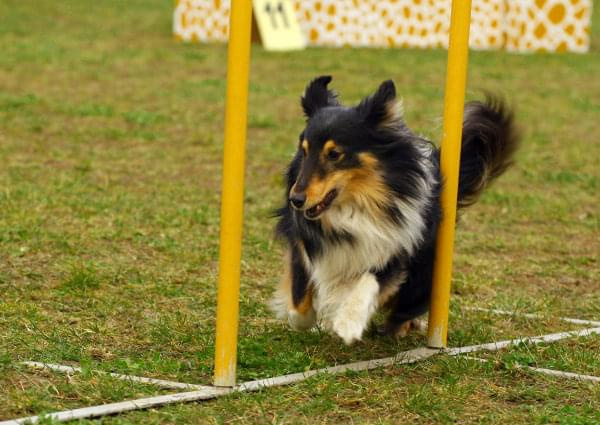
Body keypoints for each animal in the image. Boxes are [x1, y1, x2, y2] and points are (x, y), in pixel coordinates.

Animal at [270, 74, 516, 342]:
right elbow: (299, 299)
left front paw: (348, 321)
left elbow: (371, 280)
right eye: (304, 151)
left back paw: (400, 326)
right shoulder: (304, 244)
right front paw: (312, 317)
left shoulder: (396, 242)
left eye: (334, 154)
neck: (357, 204)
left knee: (403, 306)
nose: (295, 199)